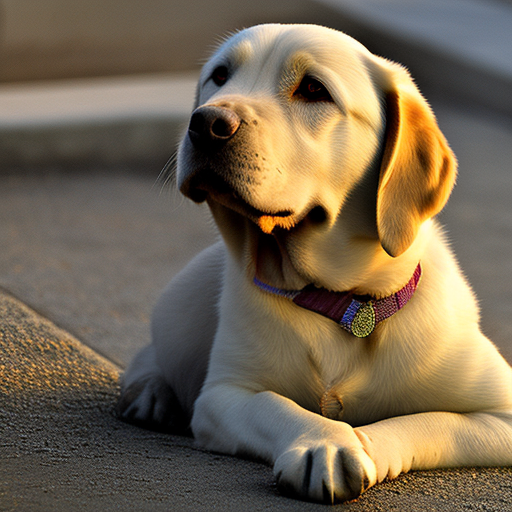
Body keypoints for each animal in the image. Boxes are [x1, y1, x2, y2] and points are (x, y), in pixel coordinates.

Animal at [118, 25, 512, 504]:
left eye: (312, 90)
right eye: (220, 76)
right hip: (182, 301)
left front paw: (361, 442)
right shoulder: (224, 394)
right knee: (151, 352)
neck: (342, 300)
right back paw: (151, 392)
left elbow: (421, 423)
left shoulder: (501, 413)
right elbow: (274, 406)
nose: (205, 123)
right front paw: (325, 441)